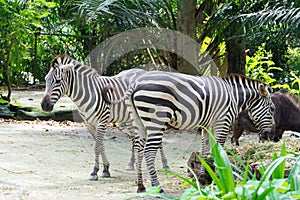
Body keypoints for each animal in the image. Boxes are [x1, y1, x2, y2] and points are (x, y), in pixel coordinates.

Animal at [39, 54, 168, 181]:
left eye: (58, 81)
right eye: (45, 79)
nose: (44, 105)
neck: (87, 92)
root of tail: (145, 72)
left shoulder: (102, 120)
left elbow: (97, 147)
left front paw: (95, 171)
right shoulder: (89, 123)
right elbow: (100, 145)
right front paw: (105, 168)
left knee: (157, 139)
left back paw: (165, 164)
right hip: (131, 118)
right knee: (134, 138)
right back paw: (132, 163)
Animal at [102, 71, 276, 193]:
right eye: (273, 109)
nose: (270, 136)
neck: (233, 96)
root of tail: (135, 83)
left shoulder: (207, 125)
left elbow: (206, 151)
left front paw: (204, 176)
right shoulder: (222, 122)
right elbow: (219, 149)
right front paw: (219, 177)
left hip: (139, 121)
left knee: (138, 150)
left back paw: (141, 186)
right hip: (157, 120)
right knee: (149, 152)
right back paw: (158, 187)